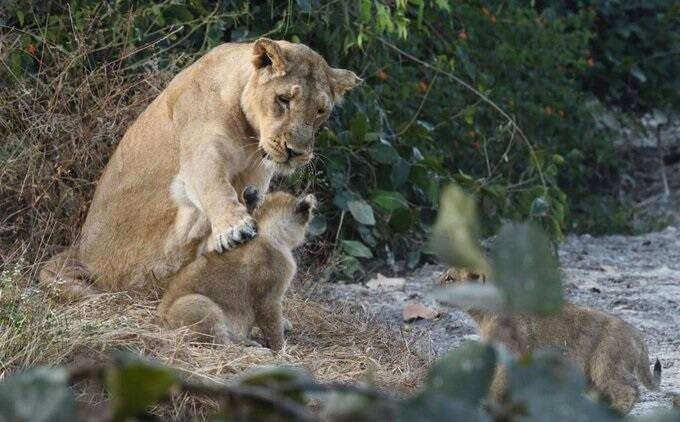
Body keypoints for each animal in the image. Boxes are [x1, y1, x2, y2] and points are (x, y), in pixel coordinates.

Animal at [39, 38, 360, 294]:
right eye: (283, 99)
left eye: (321, 111)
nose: (296, 152)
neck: (250, 136)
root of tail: (79, 254)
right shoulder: (201, 151)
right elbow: (214, 185)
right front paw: (233, 228)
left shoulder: (258, 171)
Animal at [159, 187, 315, 350]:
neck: (268, 231)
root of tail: (160, 324)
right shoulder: (269, 299)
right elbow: (274, 327)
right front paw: (282, 349)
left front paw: (286, 325)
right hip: (201, 305)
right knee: (224, 345)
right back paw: (258, 350)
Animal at [440, 270, 661, 414]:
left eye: (450, 278)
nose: (434, 286)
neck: (482, 313)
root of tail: (637, 334)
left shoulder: (511, 352)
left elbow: (499, 381)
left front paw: (491, 405)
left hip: (606, 364)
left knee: (630, 390)